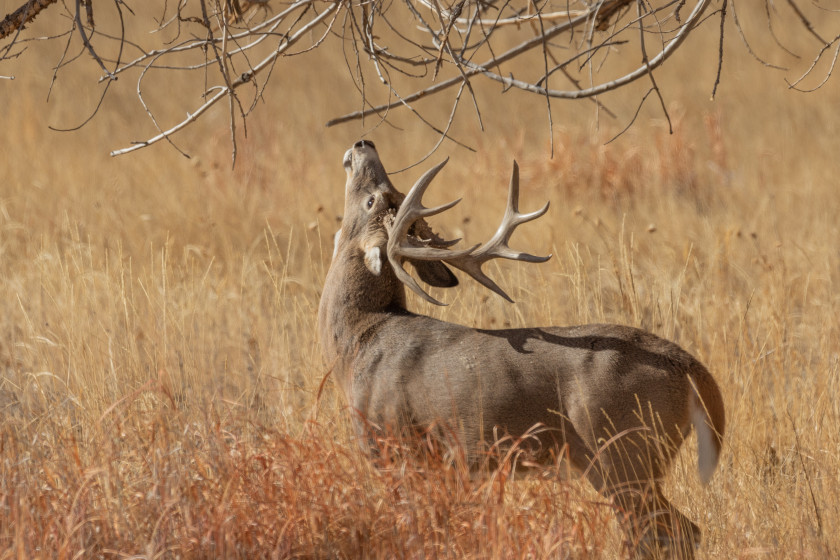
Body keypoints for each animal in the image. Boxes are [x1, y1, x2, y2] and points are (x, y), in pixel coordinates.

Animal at [318, 140, 726, 558]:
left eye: (372, 199)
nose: (363, 144)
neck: (359, 343)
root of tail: (687, 364)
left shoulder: (390, 445)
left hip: (623, 451)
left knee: (673, 531)